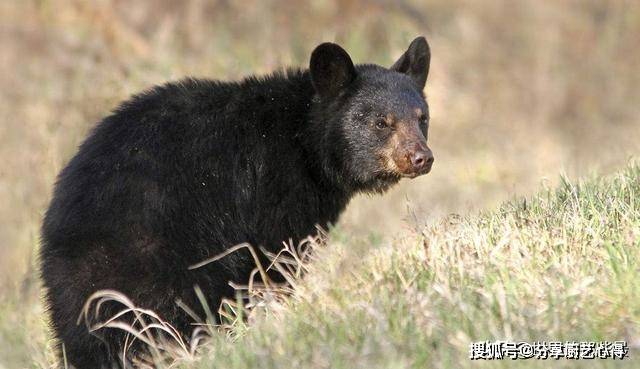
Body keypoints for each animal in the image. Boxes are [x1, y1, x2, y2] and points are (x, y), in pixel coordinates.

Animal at [40, 36, 436, 366]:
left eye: (422, 118)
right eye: (382, 123)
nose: (421, 158)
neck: (304, 142)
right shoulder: (270, 193)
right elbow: (273, 262)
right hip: (148, 257)